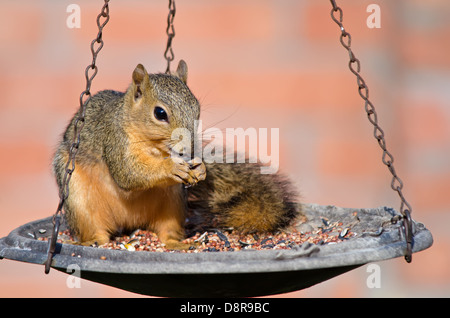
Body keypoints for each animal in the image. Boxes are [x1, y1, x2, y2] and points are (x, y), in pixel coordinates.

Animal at [53, 59, 302, 248]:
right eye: (160, 113)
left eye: (197, 109)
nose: (190, 148)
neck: (155, 147)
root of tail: (130, 223)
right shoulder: (114, 141)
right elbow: (128, 173)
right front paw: (171, 167)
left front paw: (200, 168)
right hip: (77, 198)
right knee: (95, 230)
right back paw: (92, 241)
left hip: (173, 203)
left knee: (167, 232)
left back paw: (178, 244)